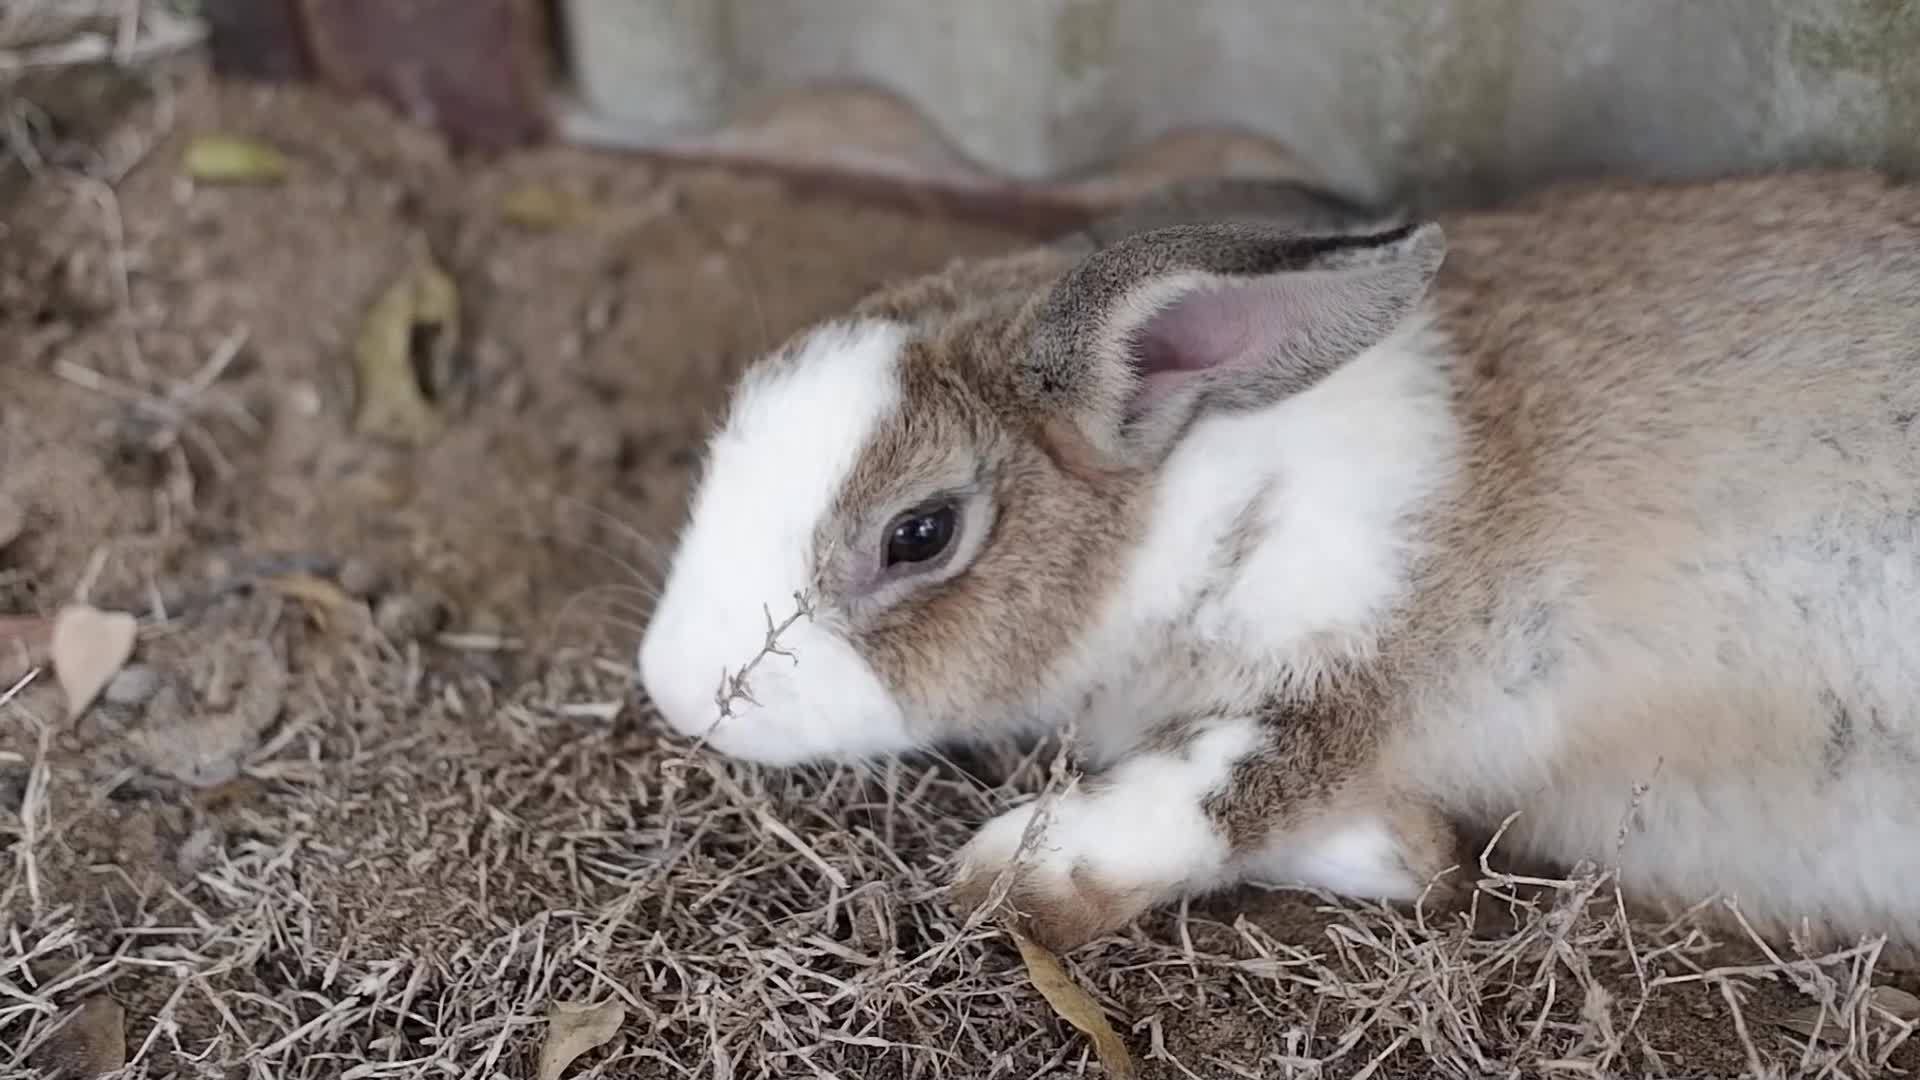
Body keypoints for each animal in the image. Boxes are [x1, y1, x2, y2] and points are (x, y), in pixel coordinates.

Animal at [637, 167, 1920, 957]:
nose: (677, 690)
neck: (1184, 505)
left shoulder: (1356, 663)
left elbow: (1222, 783)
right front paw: (1404, 847)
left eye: (920, 533)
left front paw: (1015, 871)